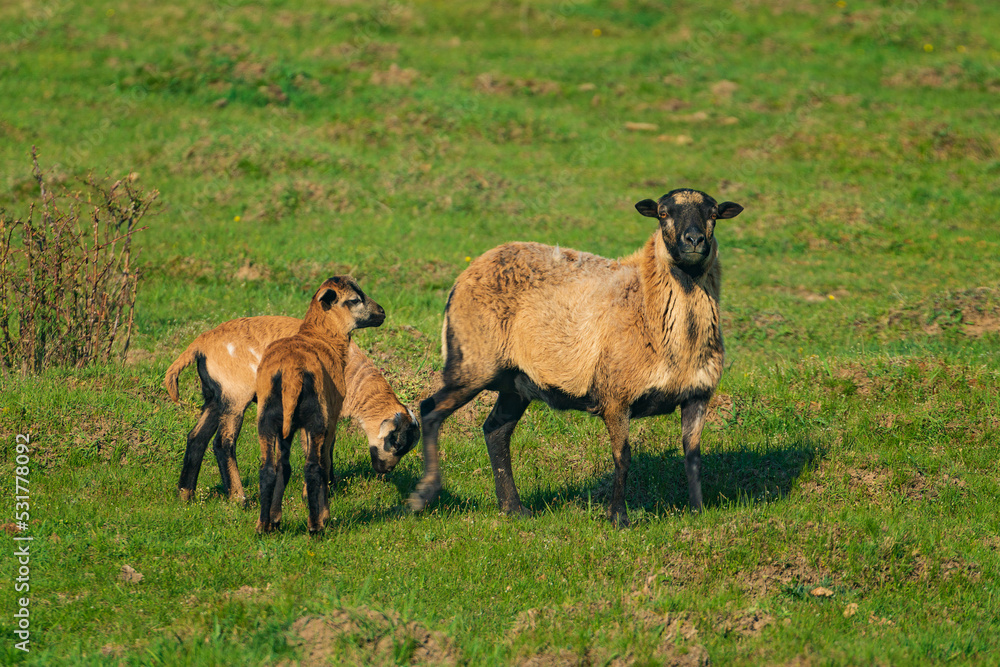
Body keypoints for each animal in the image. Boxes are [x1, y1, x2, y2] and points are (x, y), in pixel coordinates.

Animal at [165, 316, 419, 506]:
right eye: (396, 442)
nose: (385, 470)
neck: (356, 382)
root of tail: (201, 342)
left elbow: (328, 447)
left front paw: (331, 485)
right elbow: (317, 448)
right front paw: (315, 492)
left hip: (214, 397)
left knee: (197, 437)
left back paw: (185, 494)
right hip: (234, 394)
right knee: (223, 443)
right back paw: (239, 498)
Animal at [255, 276, 385, 534]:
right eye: (354, 300)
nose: (382, 312)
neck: (321, 337)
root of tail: (292, 371)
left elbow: (284, 468)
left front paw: (276, 518)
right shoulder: (332, 418)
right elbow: (325, 462)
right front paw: (324, 512)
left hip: (267, 417)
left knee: (268, 469)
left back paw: (264, 525)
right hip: (316, 418)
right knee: (313, 467)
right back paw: (316, 525)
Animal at [408, 188, 743, 527]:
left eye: (713, 214)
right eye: (663, 213)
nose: (694, 240)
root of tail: (467, 273)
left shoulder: (698, 394)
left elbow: (693, 456)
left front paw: (698, 512)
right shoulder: (615, 395)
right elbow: (623, 457)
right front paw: (618, 517)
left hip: (516, 382)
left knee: (495, 431)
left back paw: (513, 507)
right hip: (473, 360)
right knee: (430, 410)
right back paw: (424, 495)